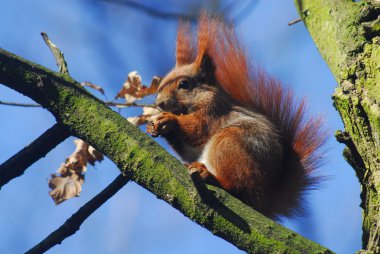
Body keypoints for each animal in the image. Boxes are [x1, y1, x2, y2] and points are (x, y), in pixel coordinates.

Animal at [147, 12, 326, 218]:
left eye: (184, 84)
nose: (159, 103)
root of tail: (264, 200)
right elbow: (187, 149)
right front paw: (154, 126)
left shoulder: (213, 113)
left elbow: (197, 130)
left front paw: (169, 119)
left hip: (230, 144)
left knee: (238, 187)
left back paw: (210, 176)